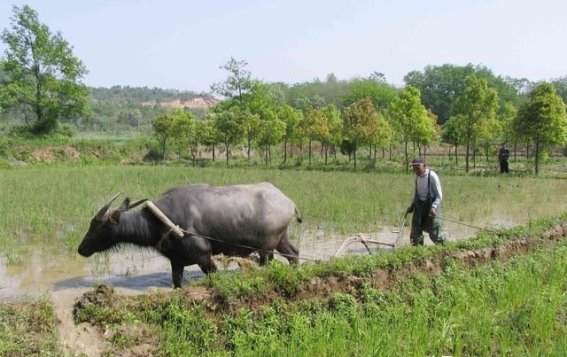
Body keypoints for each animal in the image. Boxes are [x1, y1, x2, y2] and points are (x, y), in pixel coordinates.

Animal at [79, 182, 306, 288]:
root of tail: (289, 202)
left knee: (269, 263)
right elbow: (176, 282)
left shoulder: (204, 256)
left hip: (266, 248)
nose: (81, 249)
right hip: (281, 240)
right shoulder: (176, 261)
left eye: (96, 225)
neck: (162, 220)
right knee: (293, 253)